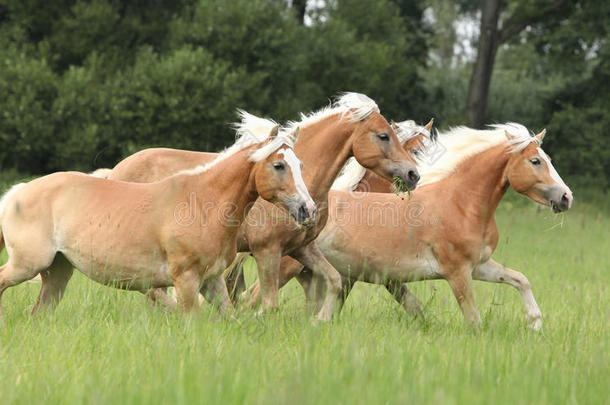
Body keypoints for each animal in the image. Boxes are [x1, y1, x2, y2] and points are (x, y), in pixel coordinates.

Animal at [0, 124, 314, 318]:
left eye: (300, 164)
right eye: (279, 165)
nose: (307, 209)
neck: (203, 202)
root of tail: (18, 191)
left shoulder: (212, 281)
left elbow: (229, 317)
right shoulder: (186, 281)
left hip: (58, 271)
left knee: (39, 313)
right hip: (27, 264)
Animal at [105, 94, 418, 318]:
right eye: (383, 135)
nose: (413, 174)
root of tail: (115, 171)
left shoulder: (302, 248)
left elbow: (332, 282)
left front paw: (320, 321)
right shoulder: (268, 250)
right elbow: (265, 302)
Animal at [252, 123, 568, 328]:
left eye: (550, 159)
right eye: (536, 161)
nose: (566, 197)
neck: (460, 202)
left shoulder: (479, 266)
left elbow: (520, 279)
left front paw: (535, 323)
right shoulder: (457, 272)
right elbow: (474, 320)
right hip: (284, 264)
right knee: (251, 297)